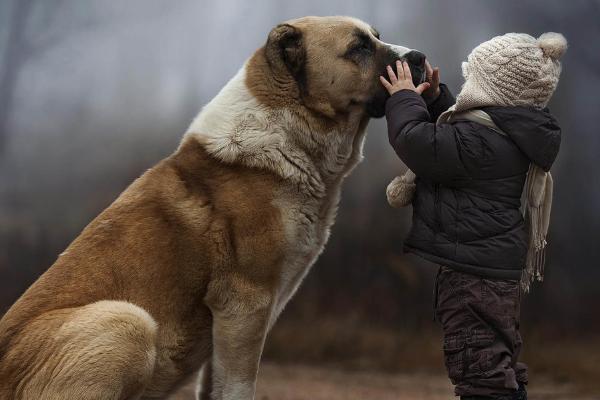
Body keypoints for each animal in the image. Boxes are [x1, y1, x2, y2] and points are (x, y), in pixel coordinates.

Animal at [0, 15, 426, 400]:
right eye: (358, 48)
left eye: (376, 37)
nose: (420, 57)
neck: (288, 131)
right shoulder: (245, 304)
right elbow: (237, 386)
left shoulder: (232, 323)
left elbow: (213, 385)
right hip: (127, 321)